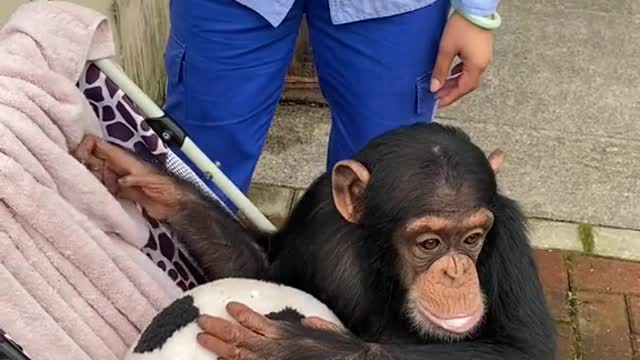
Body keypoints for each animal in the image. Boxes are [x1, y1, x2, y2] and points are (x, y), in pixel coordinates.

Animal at [74, 123, 556, 360]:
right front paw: (156, 184)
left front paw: (299, 347)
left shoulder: (507, 238)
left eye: (473, 238)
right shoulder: (317, 217)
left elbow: (524, 349)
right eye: (430, 244)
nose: (456, 271)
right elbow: (263, 271)